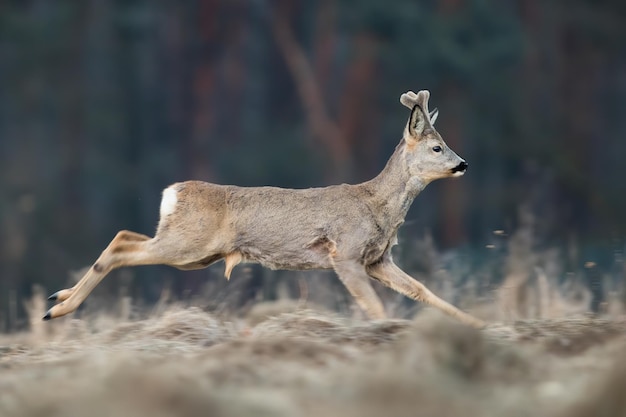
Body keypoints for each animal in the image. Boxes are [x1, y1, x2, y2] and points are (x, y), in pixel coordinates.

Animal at [44, 89, 482, 326]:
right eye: (437, 147)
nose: (463, 163)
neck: (377, 207)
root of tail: (174, 191)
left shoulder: (378, 260)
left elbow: (421, 289)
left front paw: (476, 324)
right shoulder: (345, 254)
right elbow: (373, 304)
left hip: (191, 251)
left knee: (126, 235)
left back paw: (58, 298)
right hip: (188, 247)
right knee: (122, 247)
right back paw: (58, 310)